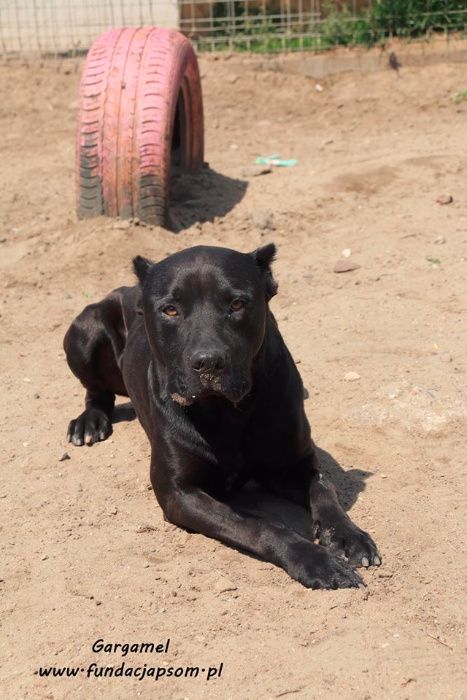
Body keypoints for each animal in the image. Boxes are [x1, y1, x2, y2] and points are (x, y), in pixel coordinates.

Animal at [65, 243, 380, 588]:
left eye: (237, 304)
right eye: (170, 310)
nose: (208, 363)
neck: (225, 411)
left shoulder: (292, 464)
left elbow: (324, 489)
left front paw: (348, 537)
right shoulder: (179, 492)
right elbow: (260, 525)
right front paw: (315, 560)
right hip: (83, 333)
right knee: (97, 392)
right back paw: (89, 423)